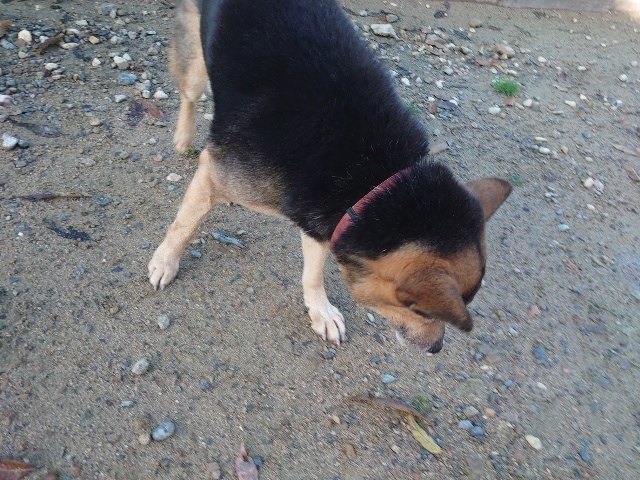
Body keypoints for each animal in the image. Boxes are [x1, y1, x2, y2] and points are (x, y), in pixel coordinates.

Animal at [148, 0, 512, 353]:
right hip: (195, 65)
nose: (436, 348)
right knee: (189, 96)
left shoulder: (322, 220)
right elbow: (184, 226)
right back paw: (183, 138)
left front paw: (320, 312)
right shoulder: (214, 175)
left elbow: (313, 273)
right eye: (419, 310)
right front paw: (165, 262)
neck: (372, 175)